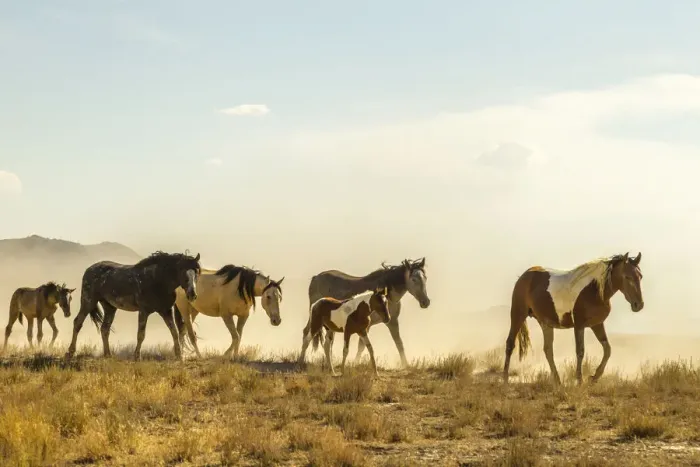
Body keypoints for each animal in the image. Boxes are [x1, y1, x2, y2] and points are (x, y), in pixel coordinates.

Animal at [64, 251, 201, 361]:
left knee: (104, 329)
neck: (158, 280)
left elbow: (174, 332)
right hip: (88, 302)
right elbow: (141, 334)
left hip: (109, 307)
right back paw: (70, 352)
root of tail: (89, 270)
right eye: (183, 272)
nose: (192, 295)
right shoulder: (144, 311)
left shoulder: (166, 311)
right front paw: (137, 356)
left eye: (197, 272)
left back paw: (108, 354)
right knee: (78, 322)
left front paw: (179, 356)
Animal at [503, 252, 644, 385]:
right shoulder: (579, 325)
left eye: (640, 276)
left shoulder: (597, 324)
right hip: (518, 314)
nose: (639, 305)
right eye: (627, 277)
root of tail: (525, 275)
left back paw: (558, 381)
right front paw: (580, 381)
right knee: (510, 343)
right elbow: (580, 351)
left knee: (548, 350)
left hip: (545, 323)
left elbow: (607, 350)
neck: (595, 290)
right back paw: (505, 379)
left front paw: (594, 378)